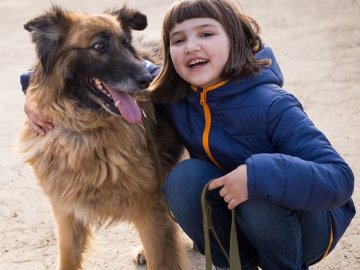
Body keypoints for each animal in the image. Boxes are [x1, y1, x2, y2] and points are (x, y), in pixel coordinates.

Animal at [19, 4, 188, 270]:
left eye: (126, 43)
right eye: (99, 46)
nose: (149, 79)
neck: (84, 130)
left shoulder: (151, 210)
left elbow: (162, 258)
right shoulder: (67, 213)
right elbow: (68, 258)